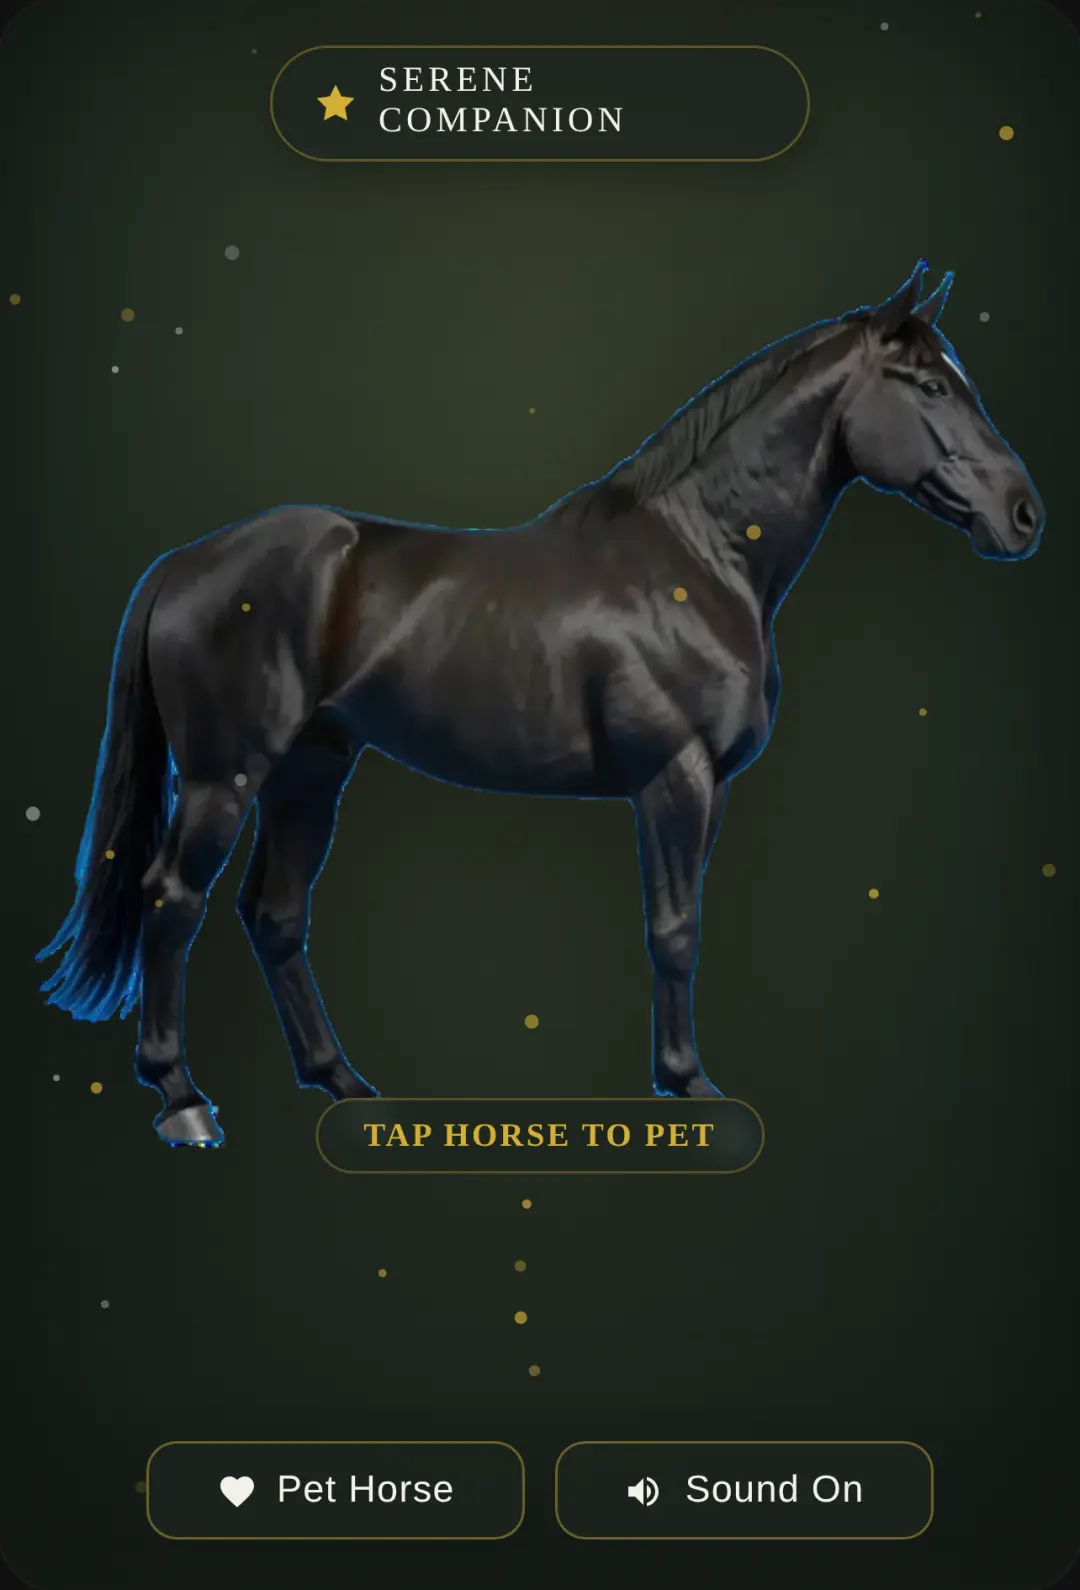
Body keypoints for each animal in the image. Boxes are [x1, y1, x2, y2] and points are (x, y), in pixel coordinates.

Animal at [38, 262, 1044, 1147]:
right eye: (928, 384)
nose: (1024, 514)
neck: (699, 558)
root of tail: (184, 561)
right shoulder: (673, 777)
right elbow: (674, 932)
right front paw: (689, 1085)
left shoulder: (712, 787)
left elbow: (683, 926)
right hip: (225, 776)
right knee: (174, 900)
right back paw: (181, 1098)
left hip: (310, 770)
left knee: (275, 912)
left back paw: (342, 1082)